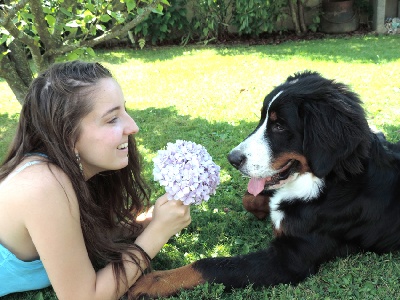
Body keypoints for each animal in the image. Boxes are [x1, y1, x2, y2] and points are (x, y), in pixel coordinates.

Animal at [131, 71, 400, 298]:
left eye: (279, 126)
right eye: (261, 119)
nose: (232, 159)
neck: (327, 183)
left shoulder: (289, 259)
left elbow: (211, 265)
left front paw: (147, 282)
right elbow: (250, 198)